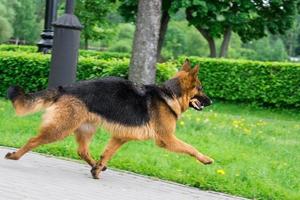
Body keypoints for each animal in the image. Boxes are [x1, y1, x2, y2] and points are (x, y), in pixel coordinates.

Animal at [4, 59, 213, 178]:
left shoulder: (120, 137)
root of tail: (65, 88)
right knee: (34, 140)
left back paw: (96, 166)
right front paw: (206, 159)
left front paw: (98, 169)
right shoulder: (167, 139)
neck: (170, 95)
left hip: (86, 129)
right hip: (60, 128)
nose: (211, 102)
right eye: (201, 88)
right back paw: (15, 156)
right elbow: (191, 148)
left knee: (82, 151)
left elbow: (107, 153)